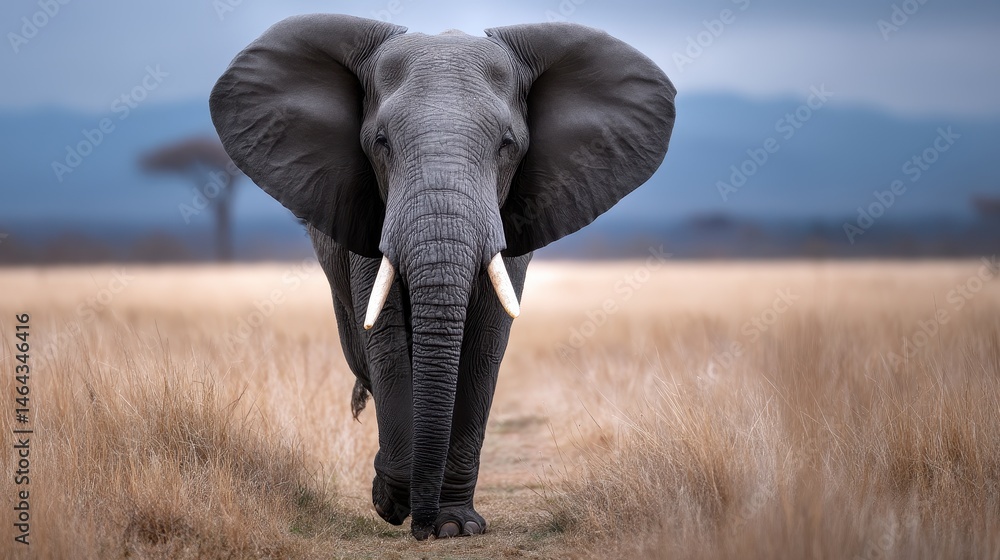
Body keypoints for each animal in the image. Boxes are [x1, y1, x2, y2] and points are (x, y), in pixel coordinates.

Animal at [209, 13, 675, 540]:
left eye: (506, 145)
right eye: (381, 143)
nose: (421, 525)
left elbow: (485, 344)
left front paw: (454, 525)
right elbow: (387, 341)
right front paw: (392, 501)